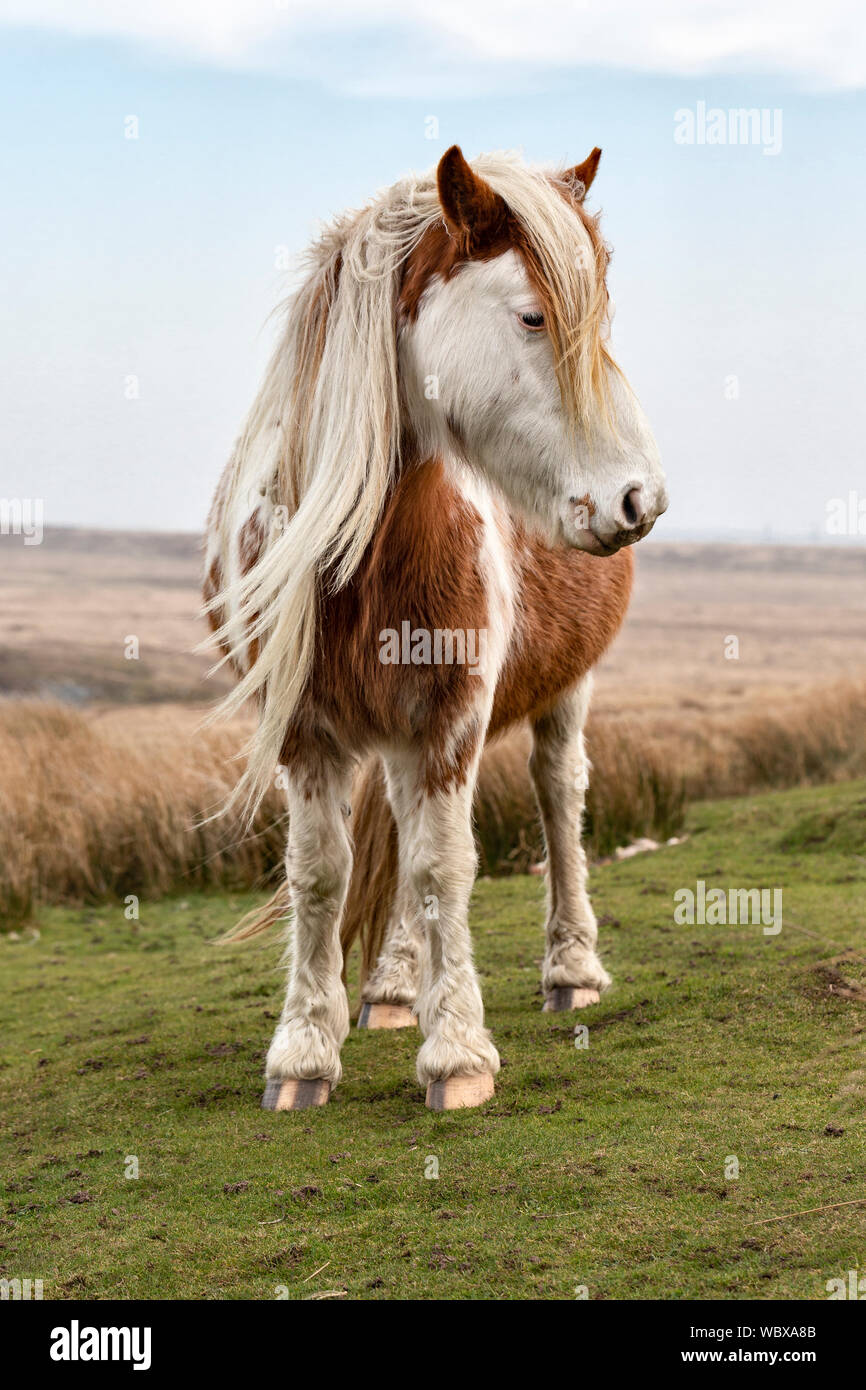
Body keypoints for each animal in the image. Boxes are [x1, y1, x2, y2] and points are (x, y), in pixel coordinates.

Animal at [204, 146, 670, 1112]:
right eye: (532, 315)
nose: (640, 500)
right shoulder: (304, 732)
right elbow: (321, 874)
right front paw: (303, 1055)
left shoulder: (451, 721)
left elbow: (442, 868)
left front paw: (457, 1054)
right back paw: (389, 988)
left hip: (563, 688)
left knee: (557, 797)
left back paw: (570, 969)